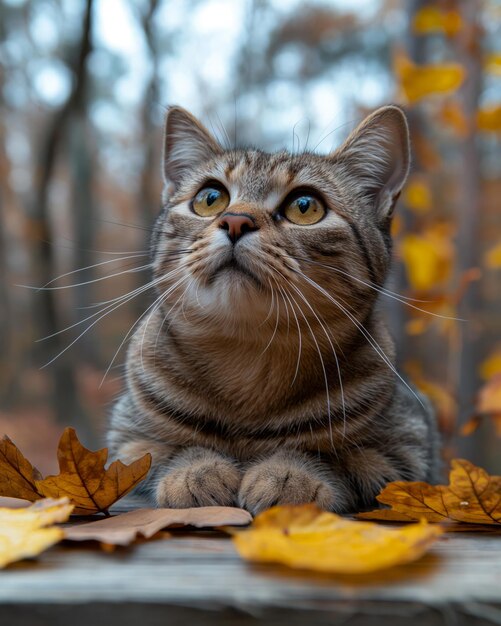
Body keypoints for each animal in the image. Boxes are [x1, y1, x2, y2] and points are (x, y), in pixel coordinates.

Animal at [107, 103, 440, 512]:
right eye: (210, 198)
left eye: (304, 206)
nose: (235, 220)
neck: (246, 356)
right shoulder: (125, 440)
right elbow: (161, 452)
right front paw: (196, 470)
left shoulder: (410, 448)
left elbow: (343, 458)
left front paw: (290, 475)